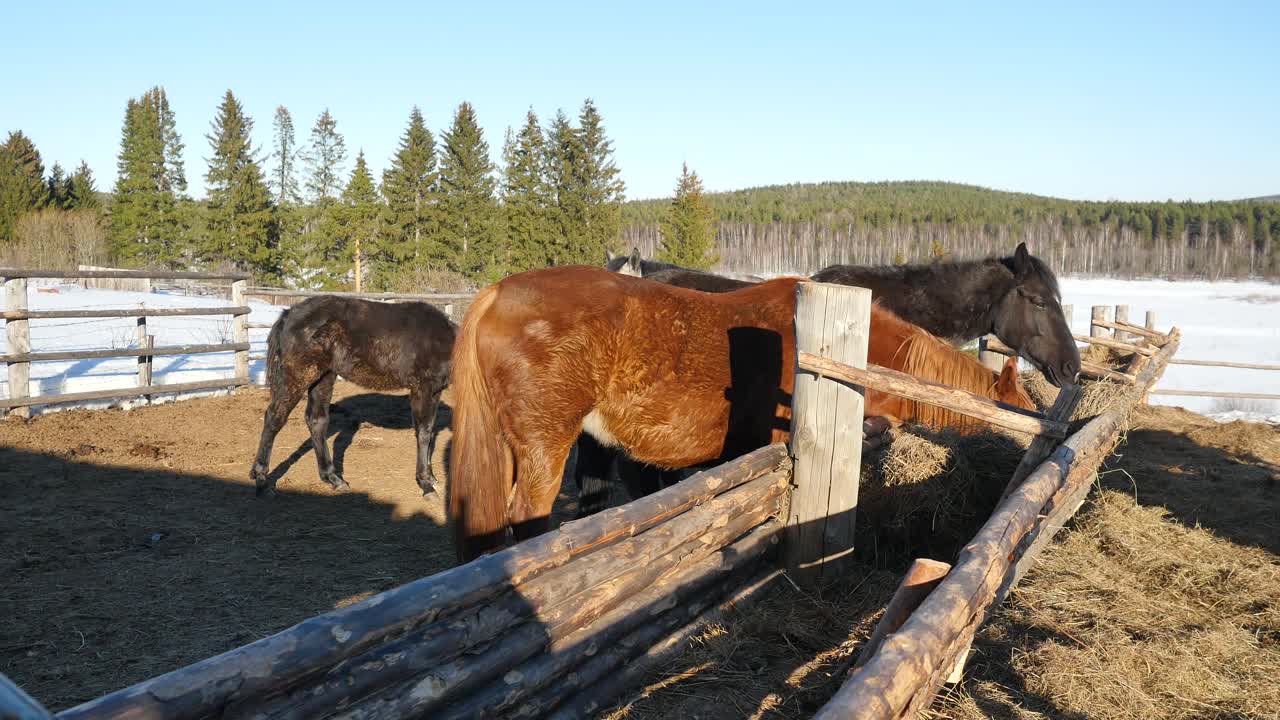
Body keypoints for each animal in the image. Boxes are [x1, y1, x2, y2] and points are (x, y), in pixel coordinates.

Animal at [250, 296, 455, 498]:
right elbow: (423, 433)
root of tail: (288, 315)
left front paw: (432, 478)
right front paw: (426, 484)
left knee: (316, 421)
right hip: (299, 376)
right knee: (274, 417)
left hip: (324, 376)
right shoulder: (423, 389)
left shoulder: (435, 392)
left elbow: (429, 431)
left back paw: (334, 479)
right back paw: (262, 481)